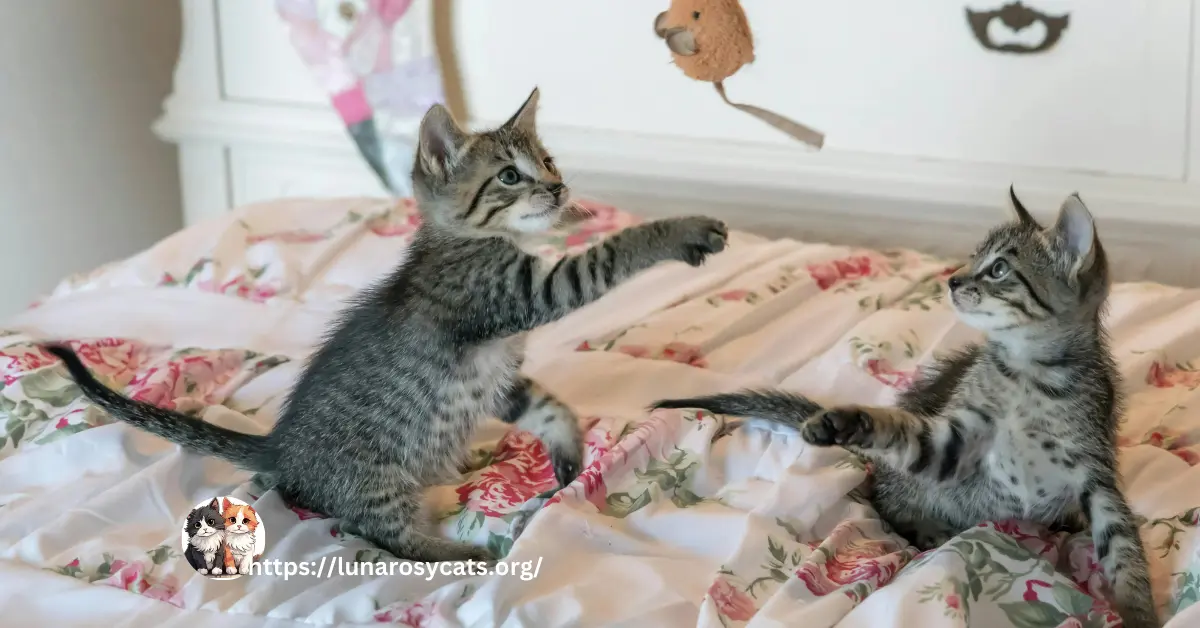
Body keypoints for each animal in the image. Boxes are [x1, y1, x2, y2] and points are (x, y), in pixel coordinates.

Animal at [42, 88, 724, 564]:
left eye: (548, 160)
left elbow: (549, 405)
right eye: (510, 175)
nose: (557, 189)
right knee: (383, 536)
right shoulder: (517, 295)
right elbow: (612, 253)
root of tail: (279, 447)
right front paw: (681, 229)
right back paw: (463, 551)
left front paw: (567, 451)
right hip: (378, 481)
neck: (468, 240)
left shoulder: (498, 373)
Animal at [657, 192, 1161, 628]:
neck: (1029, 375)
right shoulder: (954, 442)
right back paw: (928, 529)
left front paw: (1140, 614)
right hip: (910, 487)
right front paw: (841, 420)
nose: (953, 279)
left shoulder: (1097, 475)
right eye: (974, 258)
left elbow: (1125, 553)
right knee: (885, 497)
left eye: (999, 269)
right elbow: (898, 432)